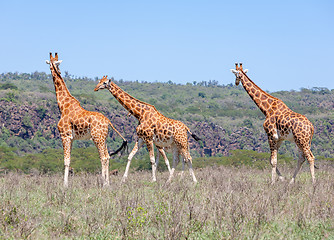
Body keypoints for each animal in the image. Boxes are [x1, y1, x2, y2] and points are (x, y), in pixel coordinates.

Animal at [45, 53, 126, 187]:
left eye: (51, 62)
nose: (56, 69)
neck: (63, 106)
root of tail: (108, 121)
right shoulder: (72, 138)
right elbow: (69, 160)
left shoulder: (65, 135)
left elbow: (66, 161)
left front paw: (64, 185)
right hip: (103, 138)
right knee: (107, 156)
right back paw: (108, 183)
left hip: (97, 138)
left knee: (104, 157)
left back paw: (103, 184)